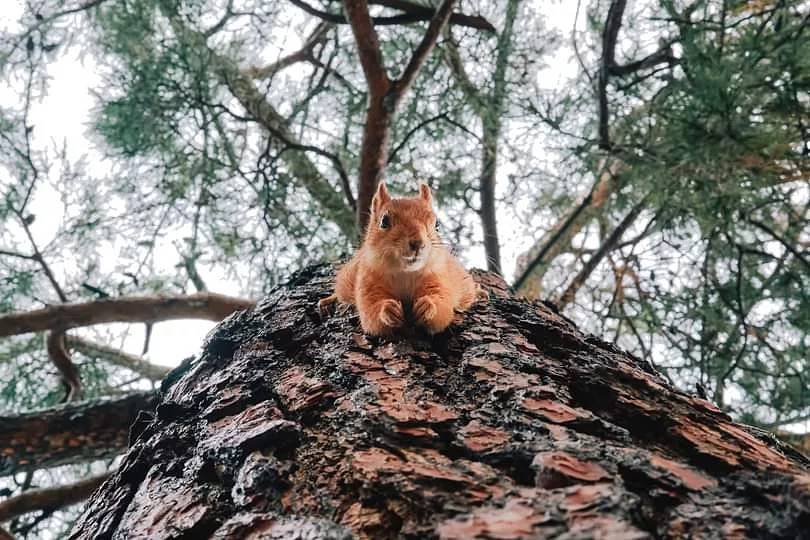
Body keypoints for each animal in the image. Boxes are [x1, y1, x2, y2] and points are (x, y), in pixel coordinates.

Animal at [318, 184, 482, 336]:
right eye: (384, 221)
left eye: (437, 225)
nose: (418, 243)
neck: (405, 273)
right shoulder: (368, 282)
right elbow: (371, 314)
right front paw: (388, 310)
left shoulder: (438, 278)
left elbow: (443, 308)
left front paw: (427, 306)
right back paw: (328, 300)